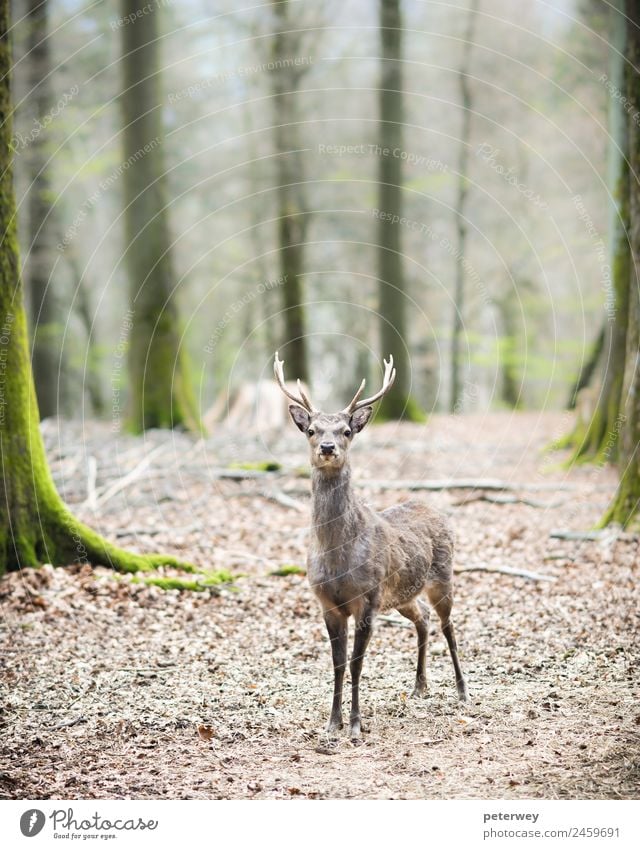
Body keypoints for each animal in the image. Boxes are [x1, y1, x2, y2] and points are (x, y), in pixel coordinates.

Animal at [272, 352, 468, 744]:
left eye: (346, 431)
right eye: (311, 429)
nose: (327, 448)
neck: (337, 556)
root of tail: (436, 509)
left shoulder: (367, 597)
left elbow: (357, 665)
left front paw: (355, 725)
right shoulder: (328, 603)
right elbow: (337, 664)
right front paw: (331, 723)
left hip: (442, 578)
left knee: (449, 625)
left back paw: (461, 690)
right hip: (403, 595)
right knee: (423, 618)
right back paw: (419, 686)